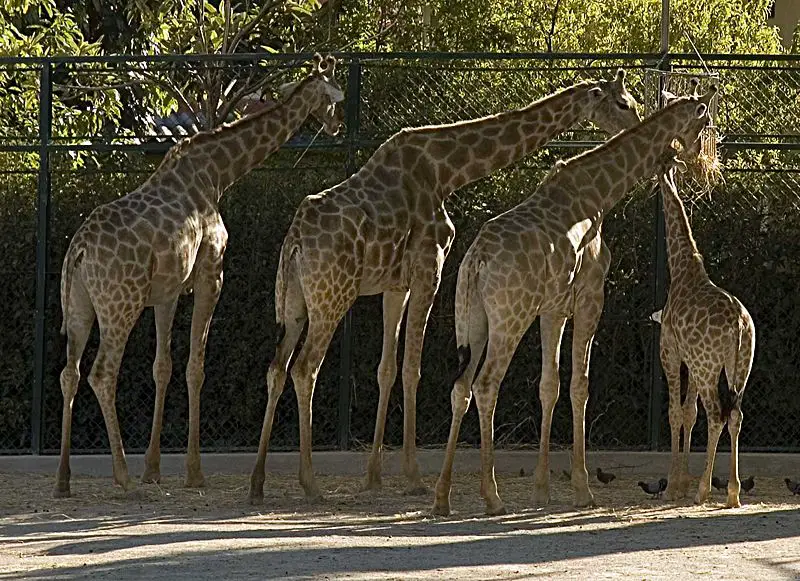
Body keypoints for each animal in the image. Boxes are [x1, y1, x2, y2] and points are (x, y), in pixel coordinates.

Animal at [55, 54, 345, 498]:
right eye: (334, 96)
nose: (338, 124)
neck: (219, 173)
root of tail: (79, 251)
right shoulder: (212, 276)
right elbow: (196, 366)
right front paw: (192, 472)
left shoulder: (168, 291)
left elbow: (163, 367)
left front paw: (154, 469)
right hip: (120, 305)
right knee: (101, 373)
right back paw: (122, 476)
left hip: (79, 306)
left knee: (68, 373)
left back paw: (63, 480)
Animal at [248, 70, 642, 503]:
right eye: (623, 103)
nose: (637, 129)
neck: (446, 171)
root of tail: (295, 242)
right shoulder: (429, 269)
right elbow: (412, 369)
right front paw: (414, 477)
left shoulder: (396, 284)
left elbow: (387, 368)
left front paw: (375, 476)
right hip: (333, 297)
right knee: (305, 369)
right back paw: (310, 483)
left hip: (293, 302)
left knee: (276, 368)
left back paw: (258, 482)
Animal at [432, 84, 719, 517]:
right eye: (705, 122)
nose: (697, 162)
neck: (599, 195)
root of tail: (476, 262)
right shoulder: (589, 297)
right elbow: (580, 384)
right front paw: (583, 489)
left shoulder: (552, 309)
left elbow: (549, 385)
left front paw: (542, 489)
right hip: (509, 319)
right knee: (486, 385)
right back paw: (492, 496)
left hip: (472, 318)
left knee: (460, 388)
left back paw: (442, 496)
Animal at [656, 162, 755, 509]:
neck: (681, 267)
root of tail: (739, 324)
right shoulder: (692, 360)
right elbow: (689, 412)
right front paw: (681, 482)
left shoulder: (670, 351)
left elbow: (675, 412)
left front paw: (674, 485)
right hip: (739, 365)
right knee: (735, 414)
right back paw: (733, 492)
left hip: (709, 367)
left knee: (716, 414)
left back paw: (704, 489)